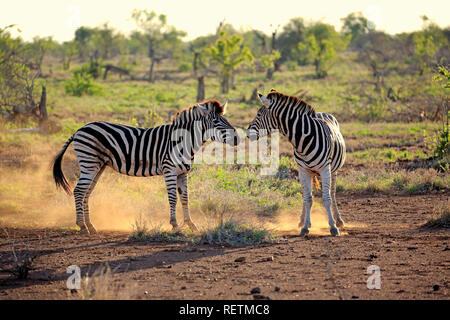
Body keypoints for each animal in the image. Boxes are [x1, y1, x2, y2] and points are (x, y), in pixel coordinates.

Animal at [51, 100, 239, 235]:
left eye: (226, 119)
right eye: (215, 121)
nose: (237, 138)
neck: (183, 141)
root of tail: (79, 129)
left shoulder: (183, 173)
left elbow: (185, 199)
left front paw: (191, 225)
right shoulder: (169, 170)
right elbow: (173, 199)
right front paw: (175, 225)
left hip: (97, 166)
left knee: (86, 192)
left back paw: (91, 226)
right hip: (89, 163)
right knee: (79, 191)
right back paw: (82, 226)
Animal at [246, 89, 348, 235]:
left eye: (259, 114)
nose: (247, 133)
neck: (304, 140)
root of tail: (322, 112)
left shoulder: (325, 169)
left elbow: (326, 199)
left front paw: (333, 227)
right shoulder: (303, 170)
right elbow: (308, 199)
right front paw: (305, 227)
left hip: (333, 170)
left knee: (332, 194)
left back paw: (339, 220)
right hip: (305, 172)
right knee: (306, 196)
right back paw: (301, 221)